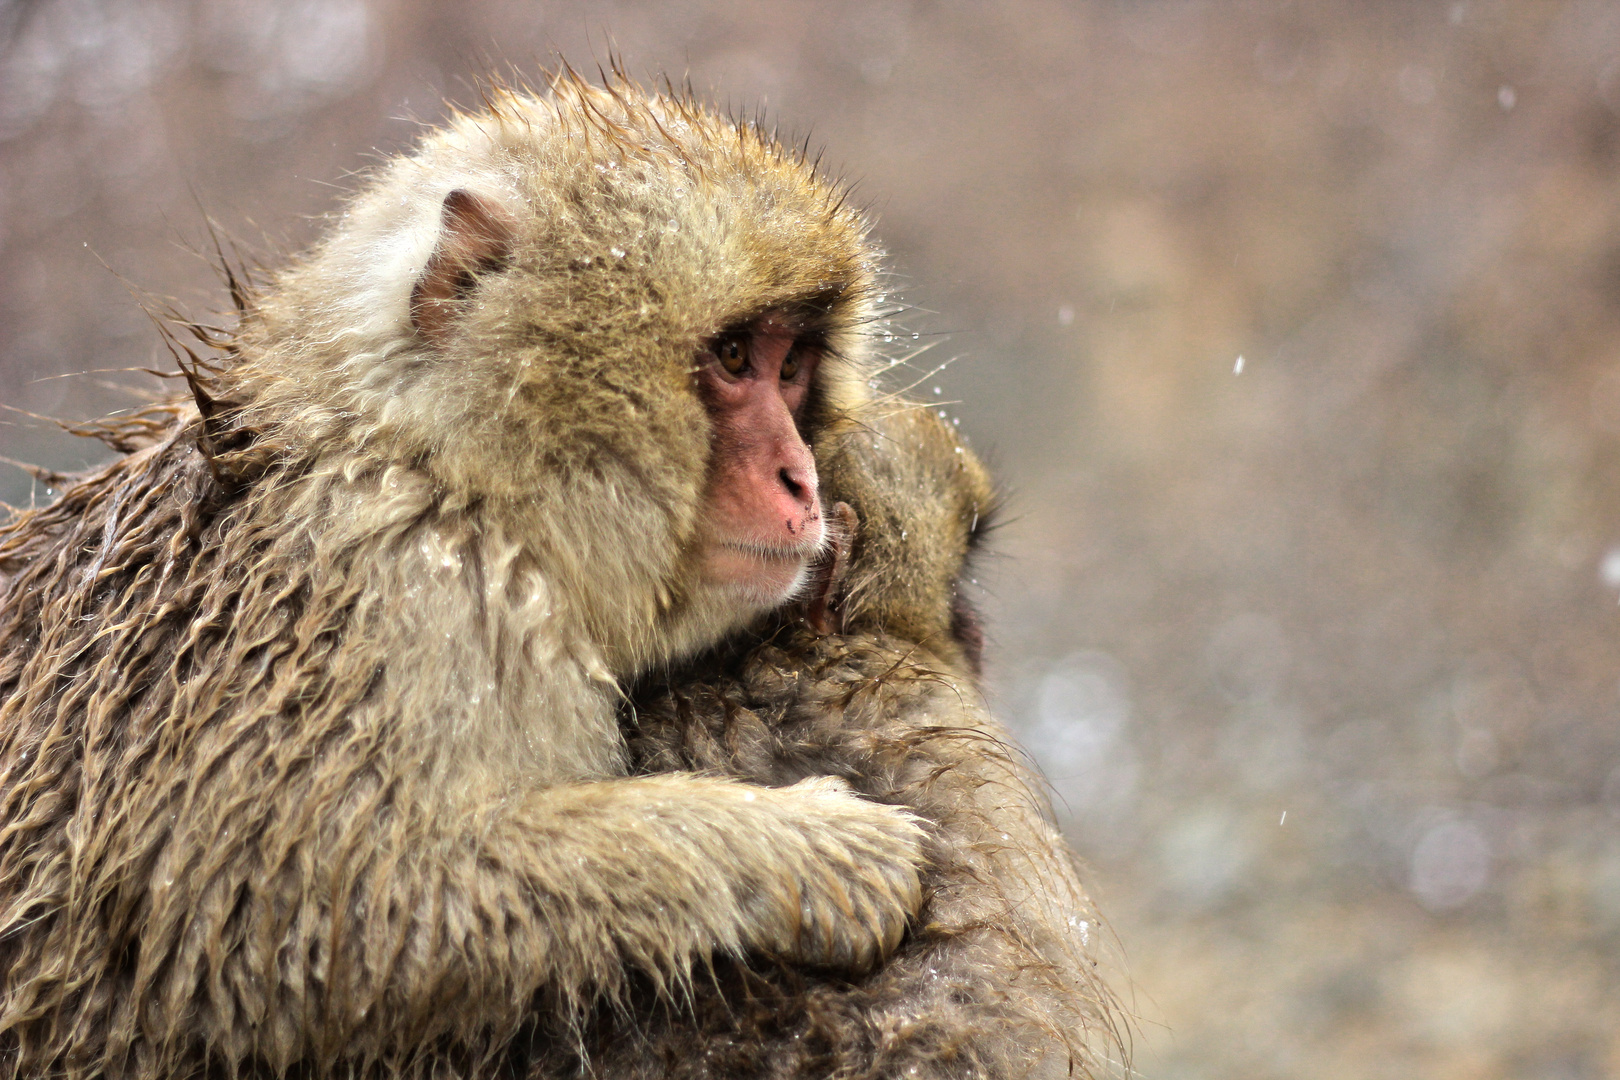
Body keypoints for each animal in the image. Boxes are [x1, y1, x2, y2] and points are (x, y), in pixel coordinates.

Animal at [0, 71, 939, 1075]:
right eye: (733, 358)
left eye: (791, 365)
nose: (800, 478)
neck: (434, 465)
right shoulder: (399, 596)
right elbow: (305, 930)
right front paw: (802, 850)